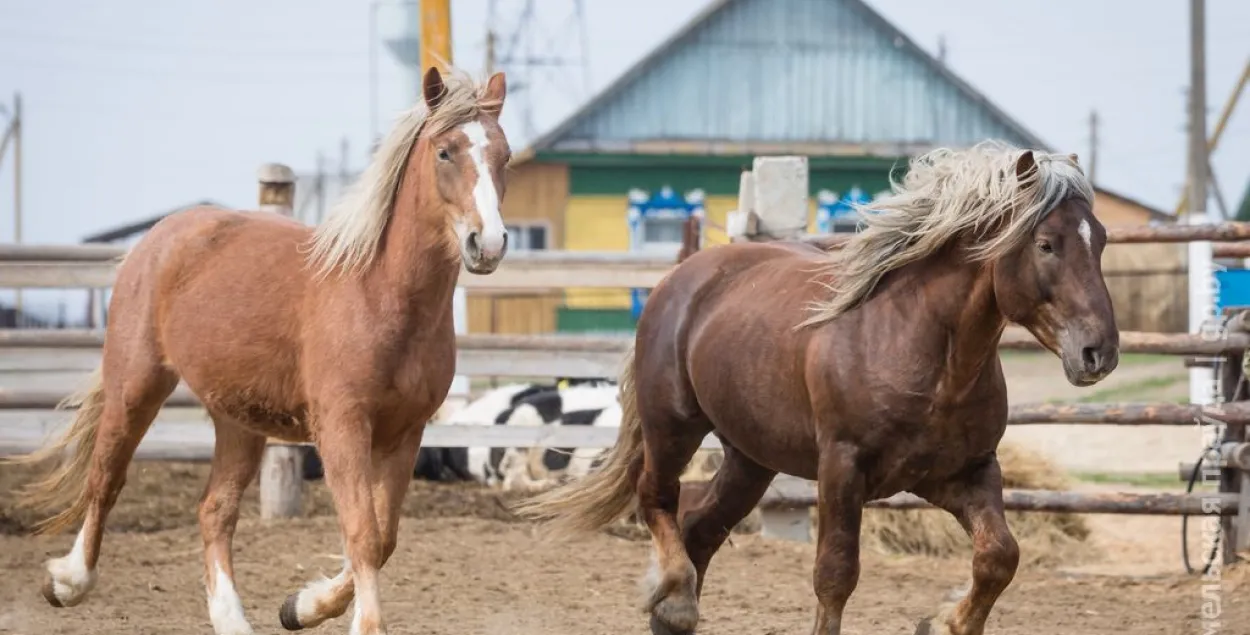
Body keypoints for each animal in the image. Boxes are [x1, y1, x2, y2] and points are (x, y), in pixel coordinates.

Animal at [4, 65, 510, 635]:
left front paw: (300, 606)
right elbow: (361, 533)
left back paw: (232, 619)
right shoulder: (342, 428)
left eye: (505, 155)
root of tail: (158, 238)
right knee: (106, 478)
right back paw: (68, 583)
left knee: (215, 509)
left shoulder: (406, 433)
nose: (488, 243)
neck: (379, 294)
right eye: (445, 151)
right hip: (135, 386)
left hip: (238, 421)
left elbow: (383, 539)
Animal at [512, 143, 1120, 635]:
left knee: (699, 527)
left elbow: (999, 556)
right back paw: (677, 602)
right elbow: (835, 574)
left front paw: (943, 621)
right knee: (656, 500)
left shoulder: (963, 474)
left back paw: (673, 612)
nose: (1100, 352)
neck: (926, 354)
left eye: (1102, 241)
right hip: (673, 426)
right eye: (1046, 244)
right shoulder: (841, 468)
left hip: (750, 459)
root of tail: (679, 278)